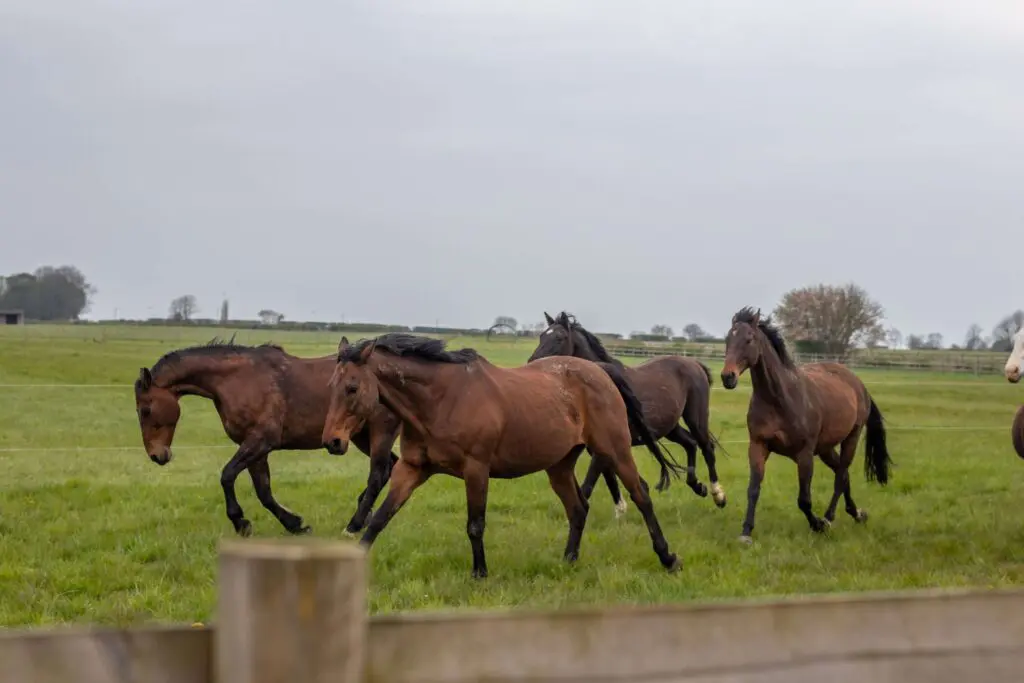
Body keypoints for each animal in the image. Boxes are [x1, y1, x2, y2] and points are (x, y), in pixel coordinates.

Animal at [133, 336, 401, 537]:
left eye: (145, 410)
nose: (157, 455)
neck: (238, 380)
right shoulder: (254, 448)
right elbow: (263, 491)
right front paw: (295, 524)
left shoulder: (261, 441)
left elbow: (227, 475)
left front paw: (241, 522)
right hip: (358, 437)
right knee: (391, 465)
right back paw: (366, 514)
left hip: (379, 433)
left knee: (378, 474)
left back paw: (355, 523)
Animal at [321, 333, 685, 578]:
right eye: (332, 387)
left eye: (352, 388)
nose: (332, 442)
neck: (440, 400)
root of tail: (600, 370)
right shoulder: (412, 468)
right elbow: (380, 517)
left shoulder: (476, 469)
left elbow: (475, 525)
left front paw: (479, 573)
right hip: (559, 465)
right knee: (578, 508)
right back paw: (569, 560)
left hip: (614, 450)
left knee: (641, 494)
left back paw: (668, 558)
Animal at [528, 311, 726, 515]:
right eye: (541, 336)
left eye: (559, 338)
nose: (532, 362)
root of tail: (694, 363)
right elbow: (611, 477)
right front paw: (621, 509)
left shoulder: (605, 447)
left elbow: (589, 485)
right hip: (669, 428)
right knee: (690, 443)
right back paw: (698, 486)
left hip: (695, 419)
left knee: (707, 447)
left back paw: (718, 495)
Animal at [720, 307, 893, 544]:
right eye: (728, 339)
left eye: (749, 339)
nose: (727, 377)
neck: (780, 399)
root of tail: (859, 384)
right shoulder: (758, 446)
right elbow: (753, 489)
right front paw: (746, 532)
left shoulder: (804, 454)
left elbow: (804, 499)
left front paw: (817, 524)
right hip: (826, 448)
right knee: (843, 475)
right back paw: (857, 514)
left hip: (851, 438)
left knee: (840, 477)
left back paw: (829, 518)